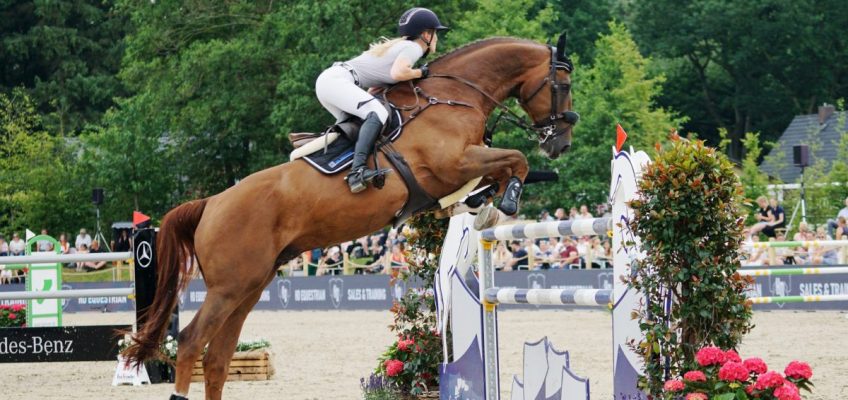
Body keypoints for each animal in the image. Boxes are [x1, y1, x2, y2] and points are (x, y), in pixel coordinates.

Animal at [124, 36, 576, 398]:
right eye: (564, 86)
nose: (562, 144)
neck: (453, 94)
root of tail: (211, 203)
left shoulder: (463, 169)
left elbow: (504, 169)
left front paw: (484, 203)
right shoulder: (455, 164)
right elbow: (515, 160)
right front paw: (506, 202)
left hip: (249, 286)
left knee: (217, 357)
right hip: (229, 287)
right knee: (190, 342)